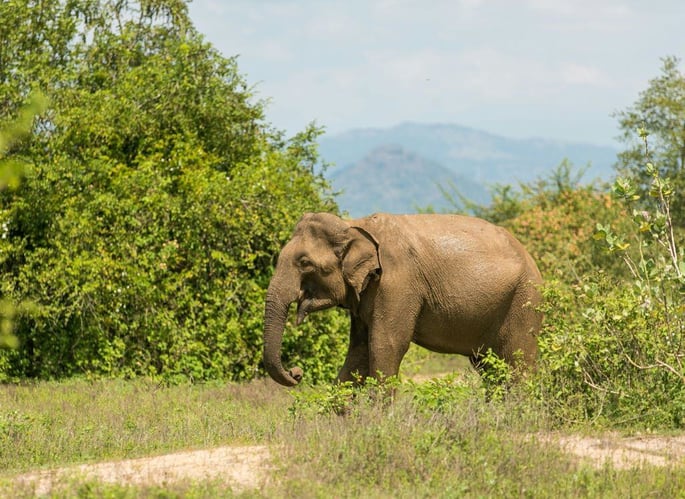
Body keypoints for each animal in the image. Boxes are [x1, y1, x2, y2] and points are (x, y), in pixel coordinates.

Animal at [263, 212, 542, 387]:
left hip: (524, 301)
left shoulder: (396, 283)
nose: (296, 373)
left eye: (305, 263)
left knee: (518, 361)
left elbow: (385, 344)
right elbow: (358, 350)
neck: (353, 225)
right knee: (488, 365)